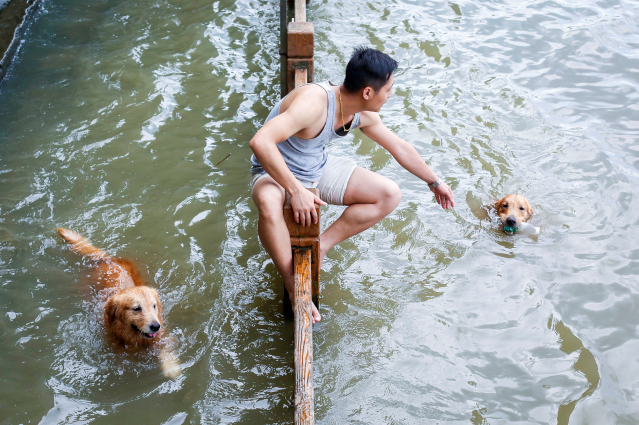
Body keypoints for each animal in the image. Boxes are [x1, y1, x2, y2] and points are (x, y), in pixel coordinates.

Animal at [57, 227, 180, 380]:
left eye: (154, 306)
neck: (136, 338)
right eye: (136, 308)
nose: (155, 326)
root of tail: (106, 259)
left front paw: (172, 367)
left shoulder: (162, 337)